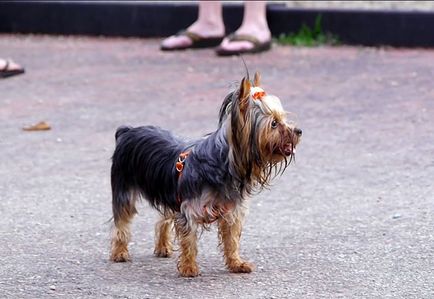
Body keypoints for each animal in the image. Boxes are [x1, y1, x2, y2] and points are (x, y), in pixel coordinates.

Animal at [110, 71, 302, 278]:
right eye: (274, 123)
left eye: (283, 118)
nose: (299, 131)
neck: (223, 163)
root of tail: (128, 131)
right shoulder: (189, 209)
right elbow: (189, 241)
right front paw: (189, 268)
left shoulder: (231, 213)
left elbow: (232, 241)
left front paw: (236, 263)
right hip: (123, 189)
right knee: (122, 223)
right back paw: (119, 253)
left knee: (164, 217)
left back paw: (163, 248)